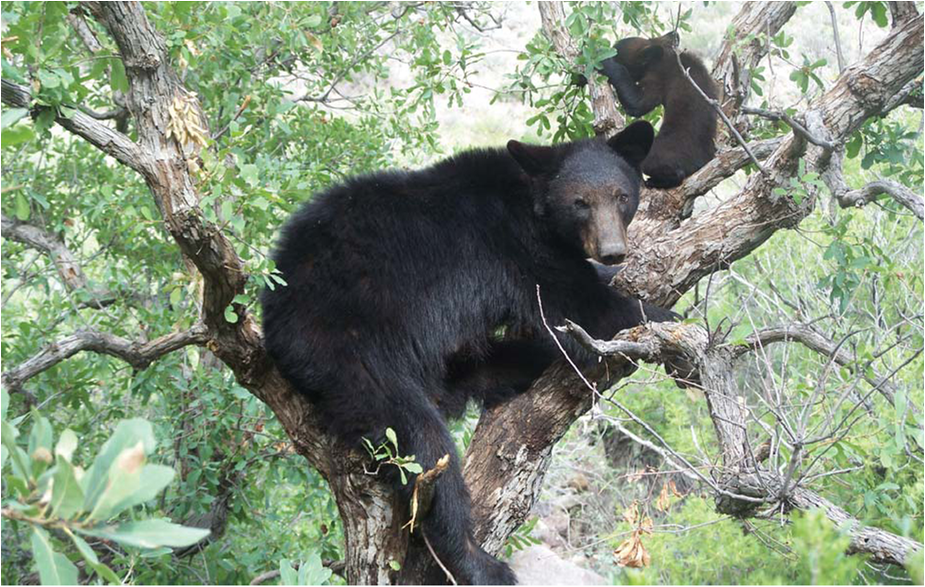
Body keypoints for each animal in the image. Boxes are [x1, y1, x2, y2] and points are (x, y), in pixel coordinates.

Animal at [260, 120, 675, 585]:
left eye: (622, 196)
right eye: (580, 203)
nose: (612, 250)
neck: (531, 201)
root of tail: (272, 311)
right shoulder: (518, 247)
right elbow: (582, 306)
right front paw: (669, 320)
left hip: (444, 359)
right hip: (346, 347)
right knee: (422, 443)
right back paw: (477, 560)